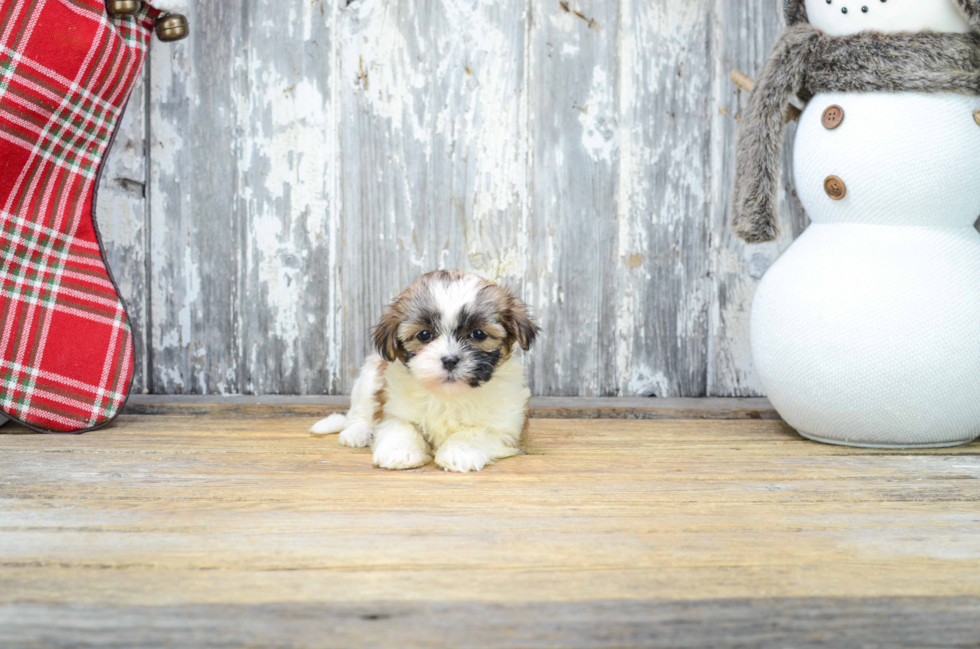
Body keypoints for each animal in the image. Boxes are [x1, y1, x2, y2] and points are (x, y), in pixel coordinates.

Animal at [312, 268, 540, 470]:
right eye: (424, 335)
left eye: (478, 334)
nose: (450, 360)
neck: (448, 396)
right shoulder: (394, 408)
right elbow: (401, 426)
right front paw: (399, 452)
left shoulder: (505, 428)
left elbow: (476, 433)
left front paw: (459, 451)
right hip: (370, 376)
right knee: (360, 411)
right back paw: (357, 432)